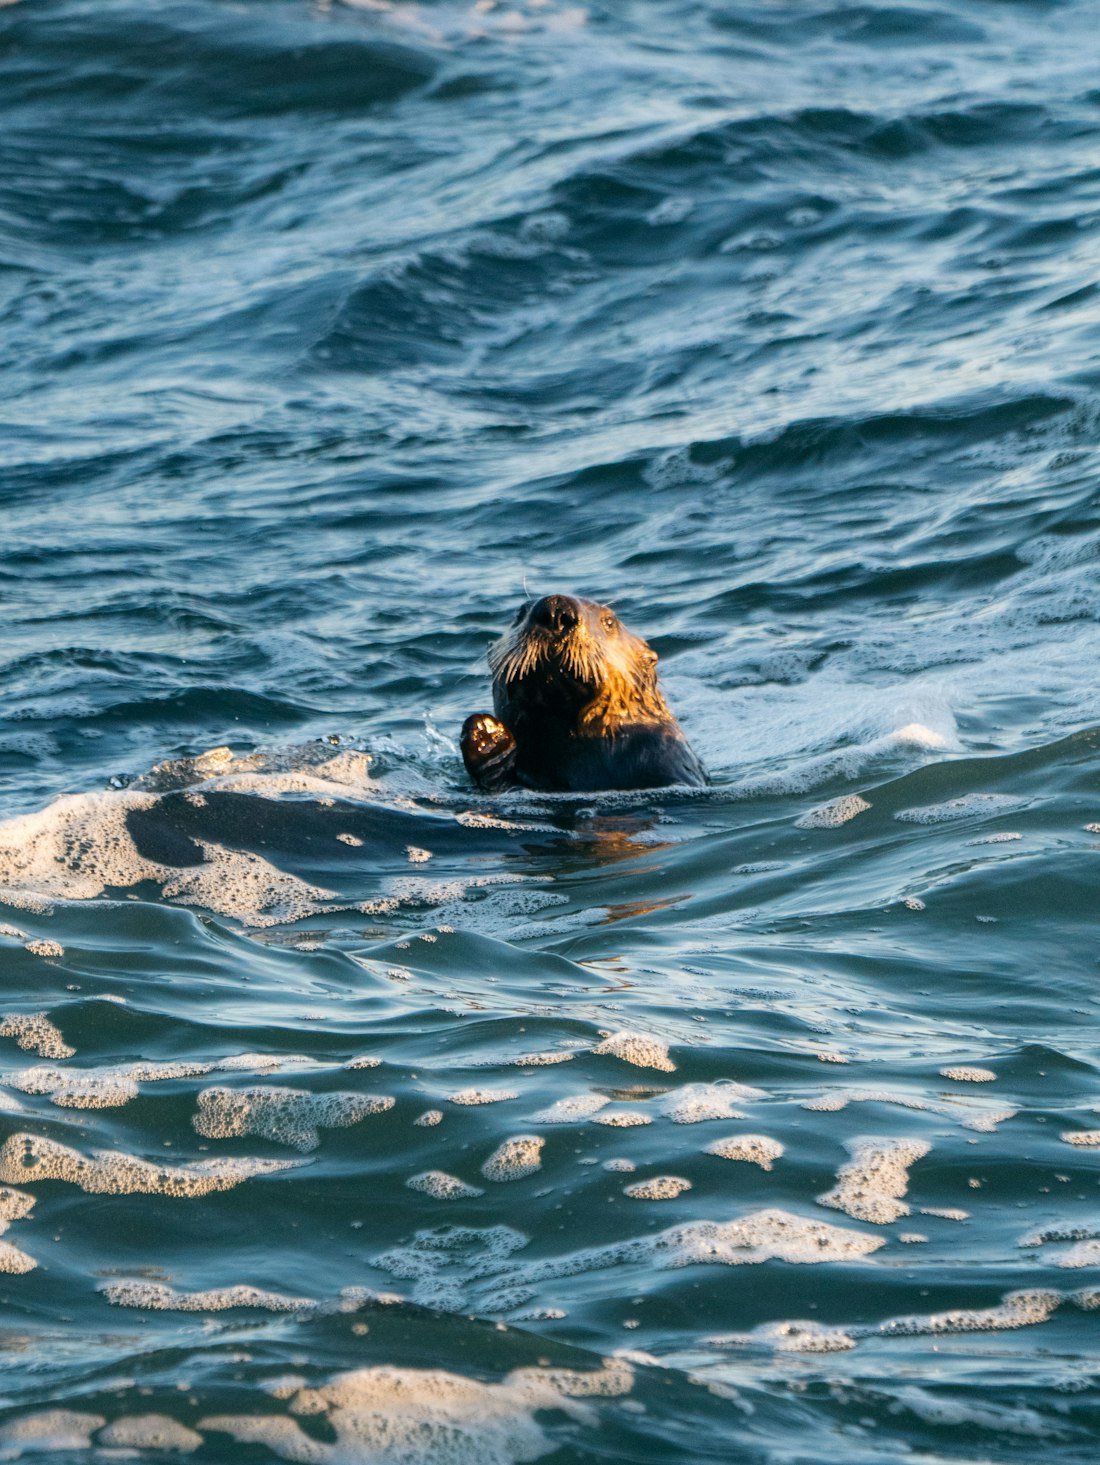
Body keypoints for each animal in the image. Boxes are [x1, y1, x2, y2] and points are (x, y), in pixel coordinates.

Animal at [461, 594, 706, 793]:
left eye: (609, 622)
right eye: (520, 613)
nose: (556, 610)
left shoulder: (661, 753)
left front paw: (487, 734)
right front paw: (486, 735)